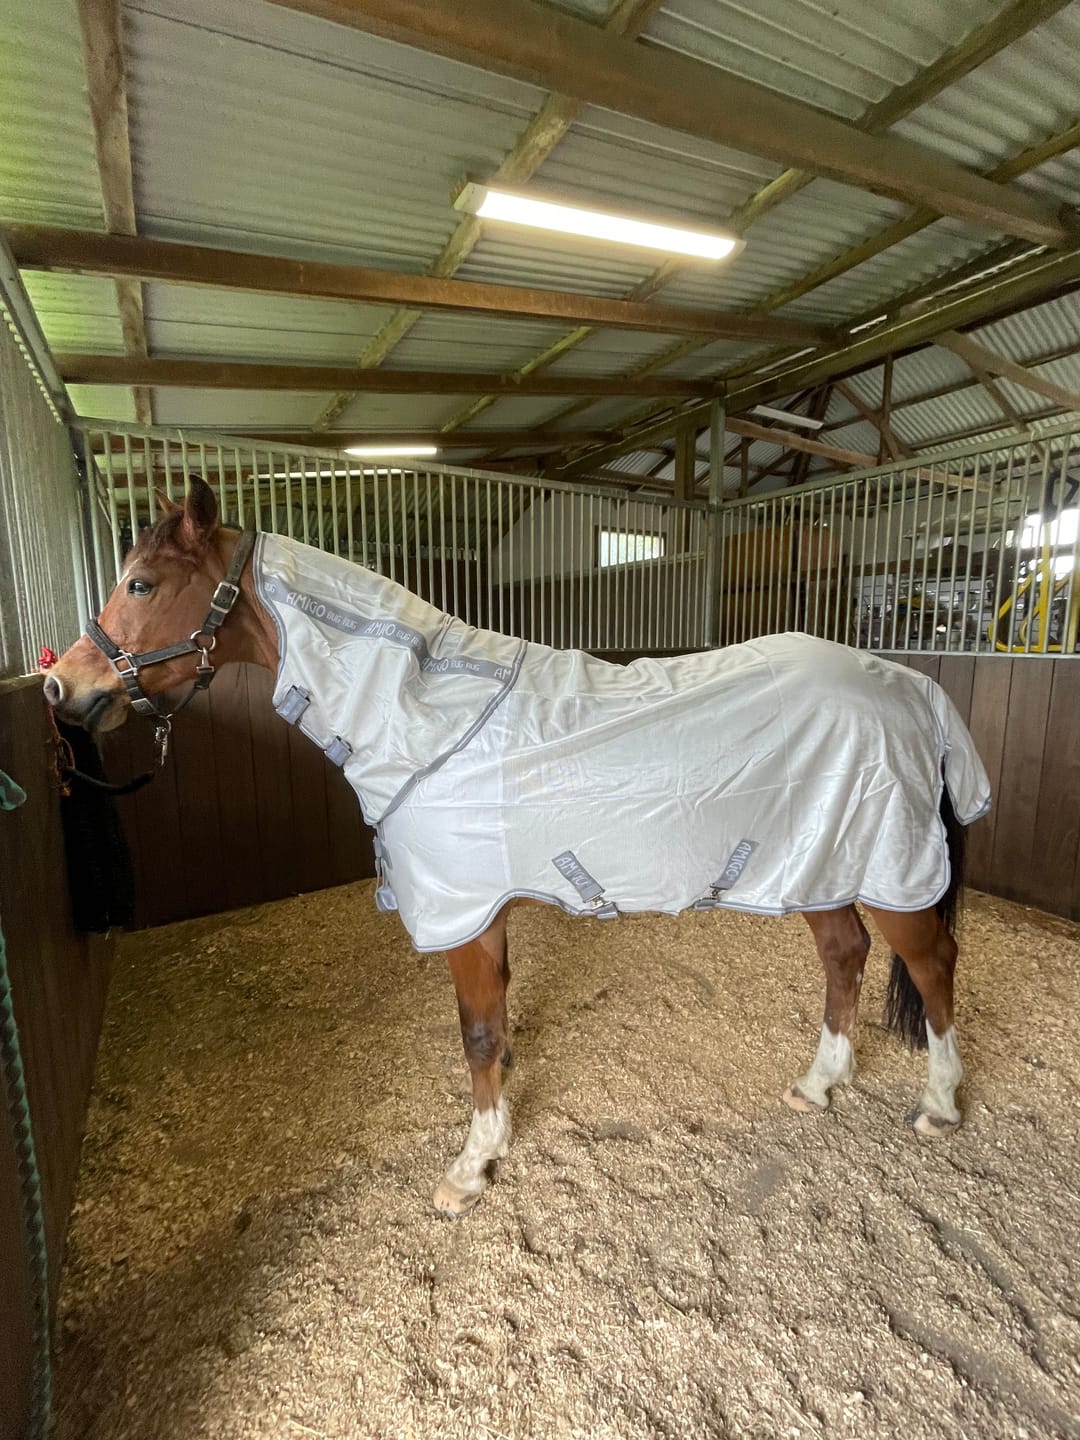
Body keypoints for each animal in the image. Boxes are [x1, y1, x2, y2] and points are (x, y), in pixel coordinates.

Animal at [45, 476, 990, 1218]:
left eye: (142, 581)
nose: (65, 688)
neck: (428, 716)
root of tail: (909, 684)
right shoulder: (486, 911)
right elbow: (495, 1026)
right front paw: (492, 1136)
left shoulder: (463, 913)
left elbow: (474, 1034)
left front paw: (471, 1167)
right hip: (820, 865)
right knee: (845, 955)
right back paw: (819, 1084)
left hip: (888, 867)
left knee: (931, 963)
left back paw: (941, 1104)